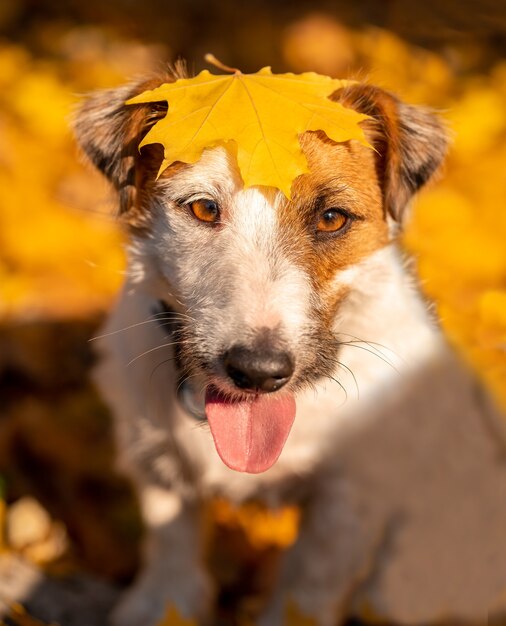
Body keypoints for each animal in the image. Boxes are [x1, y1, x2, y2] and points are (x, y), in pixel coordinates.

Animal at [73, 68, 506, 624]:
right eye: (203, 207)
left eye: (332, 218)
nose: (258, 371)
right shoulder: (154, 458)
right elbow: (170, 544)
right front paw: (161, 606)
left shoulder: (347, 501)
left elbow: (308, 585)